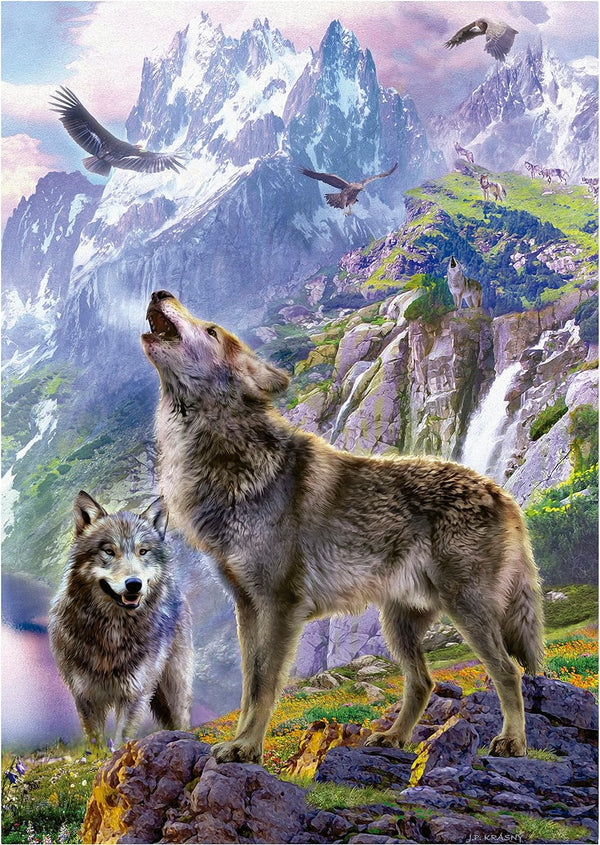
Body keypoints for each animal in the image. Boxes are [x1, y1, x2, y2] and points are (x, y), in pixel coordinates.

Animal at [48, 491, 193, 746]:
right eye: (109, 551)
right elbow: (96, 742)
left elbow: (120, 739)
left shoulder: (135, 693)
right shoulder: (85, 696)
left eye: (143, 551)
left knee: (182, 718)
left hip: (173, 687)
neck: (112, 632)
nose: (134, 584)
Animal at [142, 290, 544, 765]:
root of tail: (503, 493)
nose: (161, 293)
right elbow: (247, 686)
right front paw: (241, 743)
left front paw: (246, 747)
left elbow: (264, 685)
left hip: (467, 610)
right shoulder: (247, 606)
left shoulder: (280, 605)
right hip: (399, 623)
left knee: (508, 671)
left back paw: (512, 741)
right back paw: (394, 737)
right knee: (423, 681)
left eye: (210, 331)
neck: (229, 459)